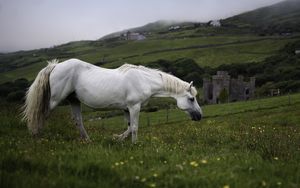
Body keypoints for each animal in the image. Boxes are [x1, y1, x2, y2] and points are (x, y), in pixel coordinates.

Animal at [22, 58, 203, 142]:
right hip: (55, 100)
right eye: (191, 98)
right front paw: (134, 144)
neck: (144, 80)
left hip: (73, 100)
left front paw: (117, 139)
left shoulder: (126, 109)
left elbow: (129, 127)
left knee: (78, 121)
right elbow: (135, 127)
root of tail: (55, 66)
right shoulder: (134, 107)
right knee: (40, 115)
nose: (199, 116)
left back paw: (88, 141)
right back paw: (36, 136)